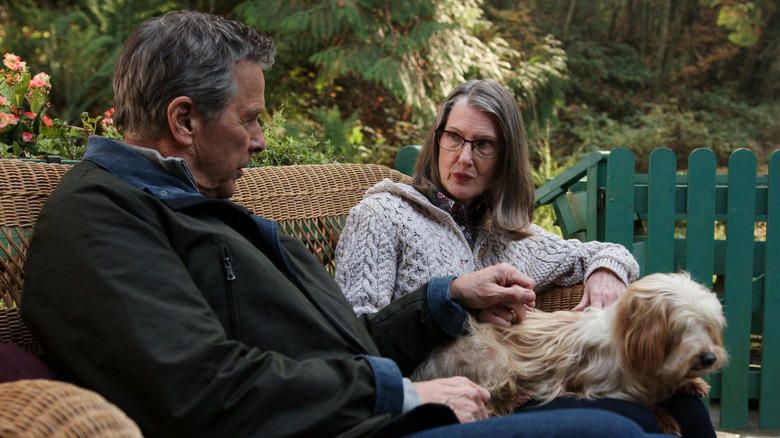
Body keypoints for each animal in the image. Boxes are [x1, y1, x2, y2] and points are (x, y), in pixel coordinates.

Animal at [412, 274, 728, 434]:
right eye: (681, 328)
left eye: (708, 325)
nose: (709, 359)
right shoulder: (601, 385)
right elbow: (645, 404)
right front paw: (664, 418)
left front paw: (691, 383)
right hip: (493, 358)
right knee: (489, 404)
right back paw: (514, 398)